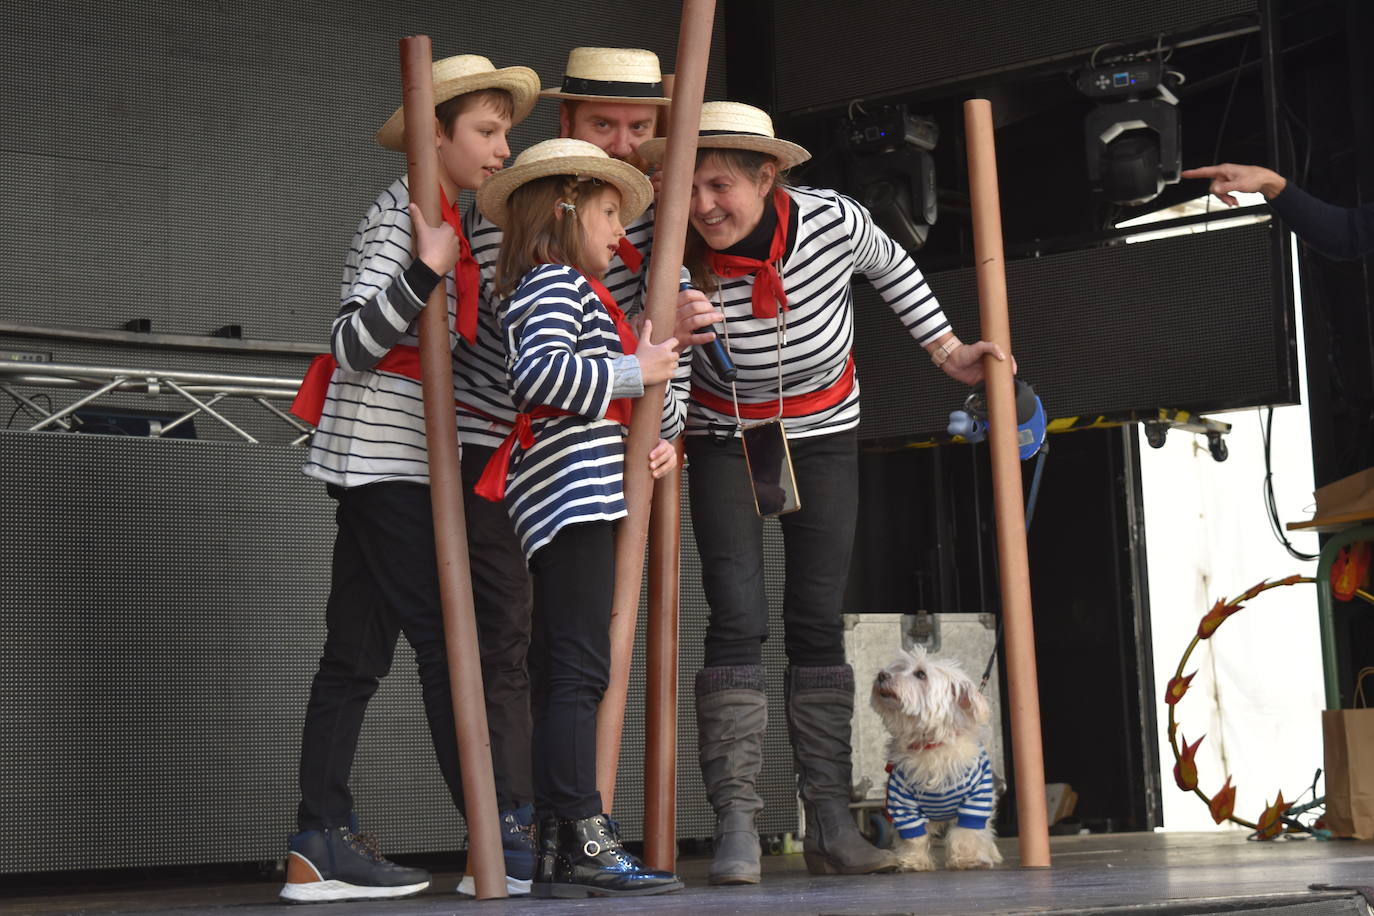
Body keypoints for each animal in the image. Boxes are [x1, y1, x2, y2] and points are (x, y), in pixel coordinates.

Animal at [873, 645, 1005, 873]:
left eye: (921, 674)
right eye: (898, 668)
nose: (882, 675)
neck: (930, 745)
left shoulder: (976, 799)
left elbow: (967, 832)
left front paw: (968, 860)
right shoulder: (902, 802)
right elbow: (913, 837)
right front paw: (913, 862)